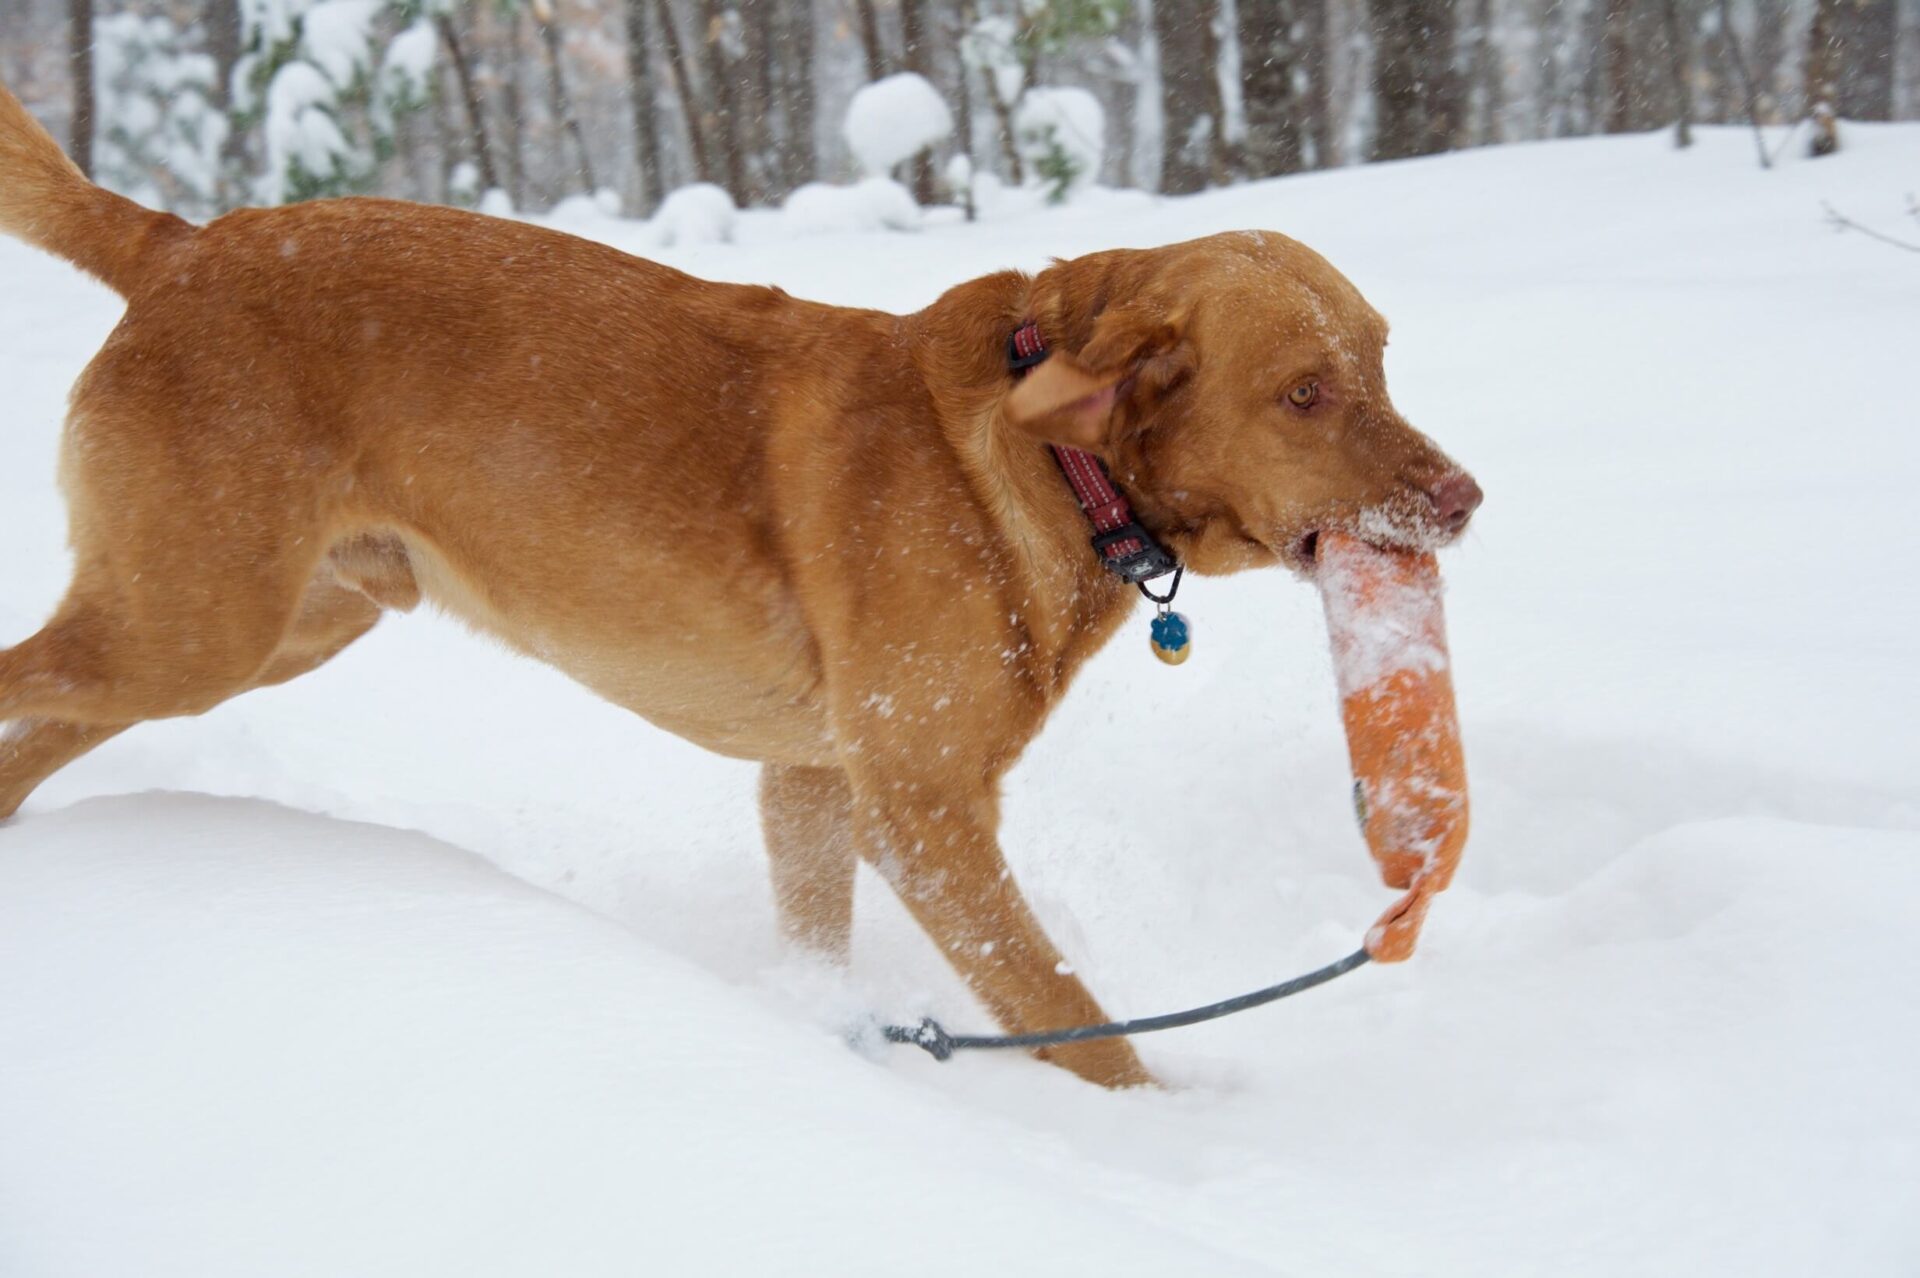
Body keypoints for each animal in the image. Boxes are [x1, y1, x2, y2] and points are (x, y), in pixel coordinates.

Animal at [0, 84, 1482, 1082]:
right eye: (1305, 393)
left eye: (1382, 362)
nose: (1467, 498)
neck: (1052, 461)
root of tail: (182, 242)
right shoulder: (922, 810)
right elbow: (1066, 1006)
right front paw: (1158, 1128)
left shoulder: (812, 782)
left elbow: (818, 944)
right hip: (188, 627)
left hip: (273, 626)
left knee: (40, 737)